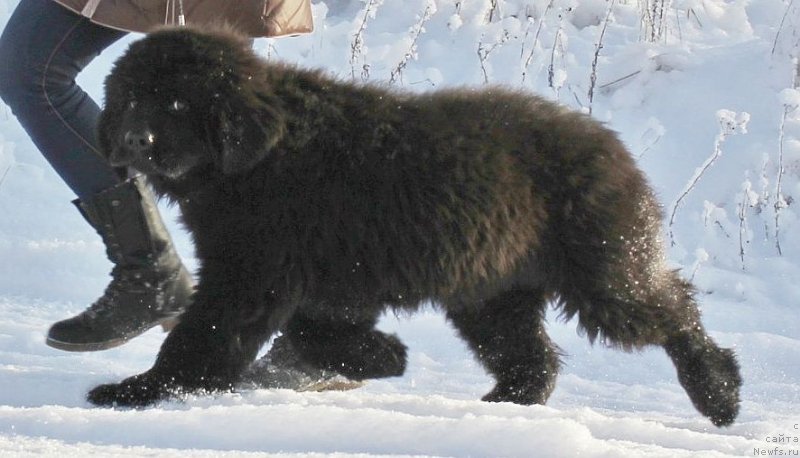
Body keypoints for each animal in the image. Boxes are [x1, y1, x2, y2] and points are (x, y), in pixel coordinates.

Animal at [86, 25, 736, 426]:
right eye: (130, 99)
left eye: (175, 103)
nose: (133, 142)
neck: (256, 158)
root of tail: (612, 146)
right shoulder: (316, 277)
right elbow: (309, 332)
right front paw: (383, 356)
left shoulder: (253, 272)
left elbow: (203, 337)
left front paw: (140, 391)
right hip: (493, 292)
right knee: (532, 355)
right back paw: (503, 404)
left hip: (599, 267)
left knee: (671, 309)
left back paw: (720, 391)